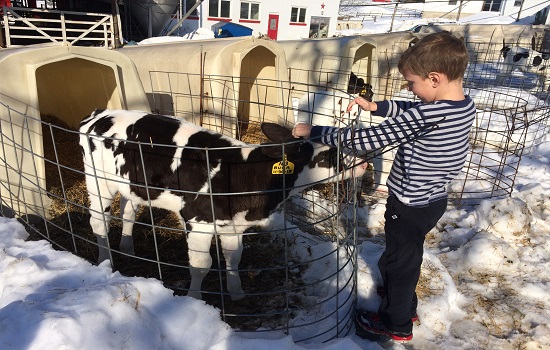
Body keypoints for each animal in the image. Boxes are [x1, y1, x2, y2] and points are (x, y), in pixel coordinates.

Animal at [80, 108, 368, 300]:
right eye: (330, 155)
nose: (364, 163)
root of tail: (98, 114)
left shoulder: (233, 226)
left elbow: (234, 258)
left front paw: (236, 291)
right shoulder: (198, 221)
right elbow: (201, 265)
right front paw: (194, 299)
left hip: (129, 185)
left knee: (128, 211)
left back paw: (128, 248)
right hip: (98, 183)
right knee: (99, 222)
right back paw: (106, 262)